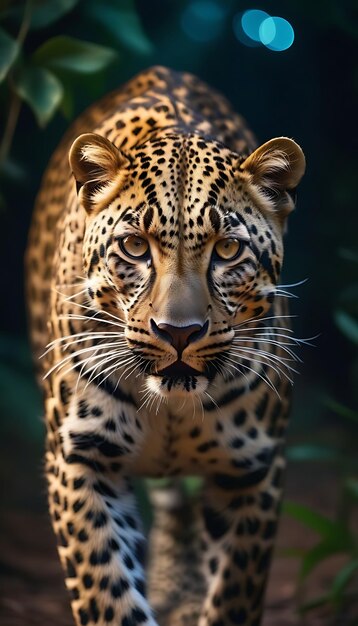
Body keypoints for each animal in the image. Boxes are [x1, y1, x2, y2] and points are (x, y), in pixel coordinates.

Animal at [25, 67, 304, 624]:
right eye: (135, 246)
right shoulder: (80, 459)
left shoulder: (254, 469)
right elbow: (107, 592)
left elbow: (235, 592)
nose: (178, 332)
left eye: (228, 249)